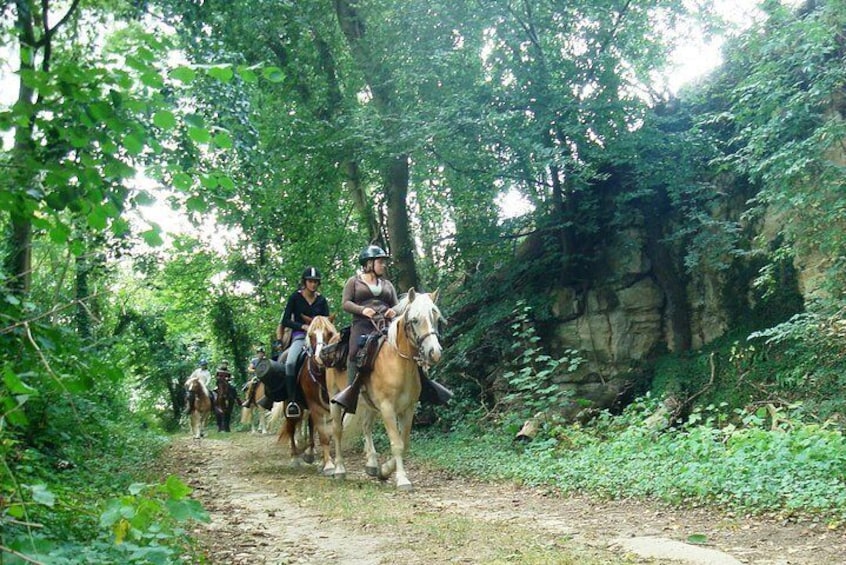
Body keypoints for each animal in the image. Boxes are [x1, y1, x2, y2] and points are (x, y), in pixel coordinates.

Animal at [282, 312, 342, 468]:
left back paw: (309, 452)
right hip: (290, 404)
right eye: (310, 335)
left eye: (330, 333)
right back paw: (295, 457)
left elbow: (329, 431)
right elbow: (323, 434)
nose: (320, 358)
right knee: (291, 425)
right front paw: (328, 465)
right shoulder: (314, 404)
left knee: (309, 424)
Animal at [332, 286, 444, 490]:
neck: (398, 363)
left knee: (366, 427)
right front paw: (402, 479)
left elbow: (404, 443)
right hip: (333, 399)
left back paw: (372, 465)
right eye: (415, 320)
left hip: (369, 405)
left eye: (436, 318)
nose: (435, 353)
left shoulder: (407, 409)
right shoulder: (387, 408)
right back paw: (338, 469)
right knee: (337, 430)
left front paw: (384, 471)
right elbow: (397, 443)